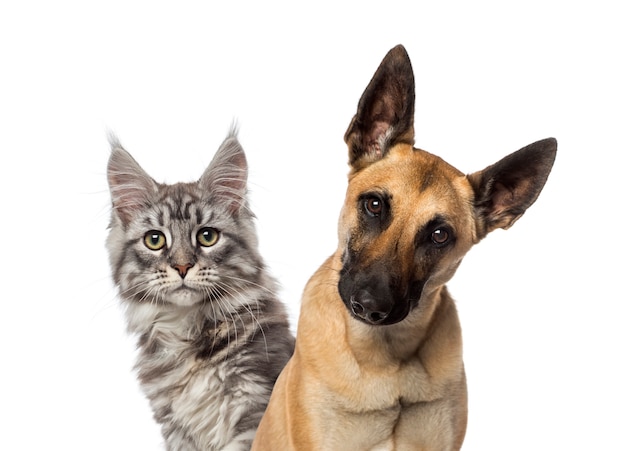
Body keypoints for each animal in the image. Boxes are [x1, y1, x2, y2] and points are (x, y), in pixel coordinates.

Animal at [105, 129, 294, 450]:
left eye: (207, 236)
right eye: (154, 240)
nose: (182, 267)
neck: (188, 334)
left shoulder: (255, 406)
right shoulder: (177, 430)